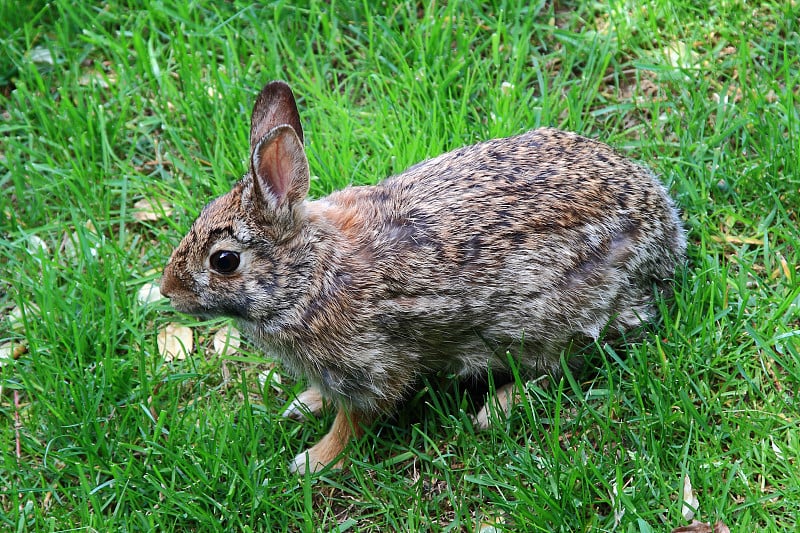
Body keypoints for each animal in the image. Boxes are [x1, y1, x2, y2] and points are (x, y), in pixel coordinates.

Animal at [161, 80, 688, 474]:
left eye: (223, 261)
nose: (169, 292)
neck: (309, 275)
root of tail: (666, 240)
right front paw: (305, 403)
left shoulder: (373, 366)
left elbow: (356, 420)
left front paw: (313, 461)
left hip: (551, 320)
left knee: (567, 365)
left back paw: (495, 409)